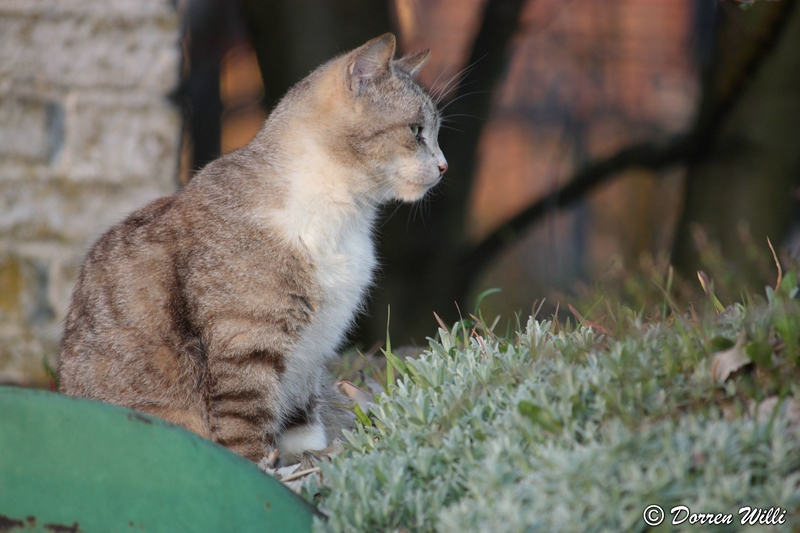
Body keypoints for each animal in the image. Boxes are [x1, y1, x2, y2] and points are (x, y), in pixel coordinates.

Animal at [57, 34, 444, 466]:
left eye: (435, 131)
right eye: (416, 130)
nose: (445, 166)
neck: (341, 217)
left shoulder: (311, 353)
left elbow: (303, 425)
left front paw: (310, 461)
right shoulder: (245, 344)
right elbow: (246, 432)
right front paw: (265, 471)